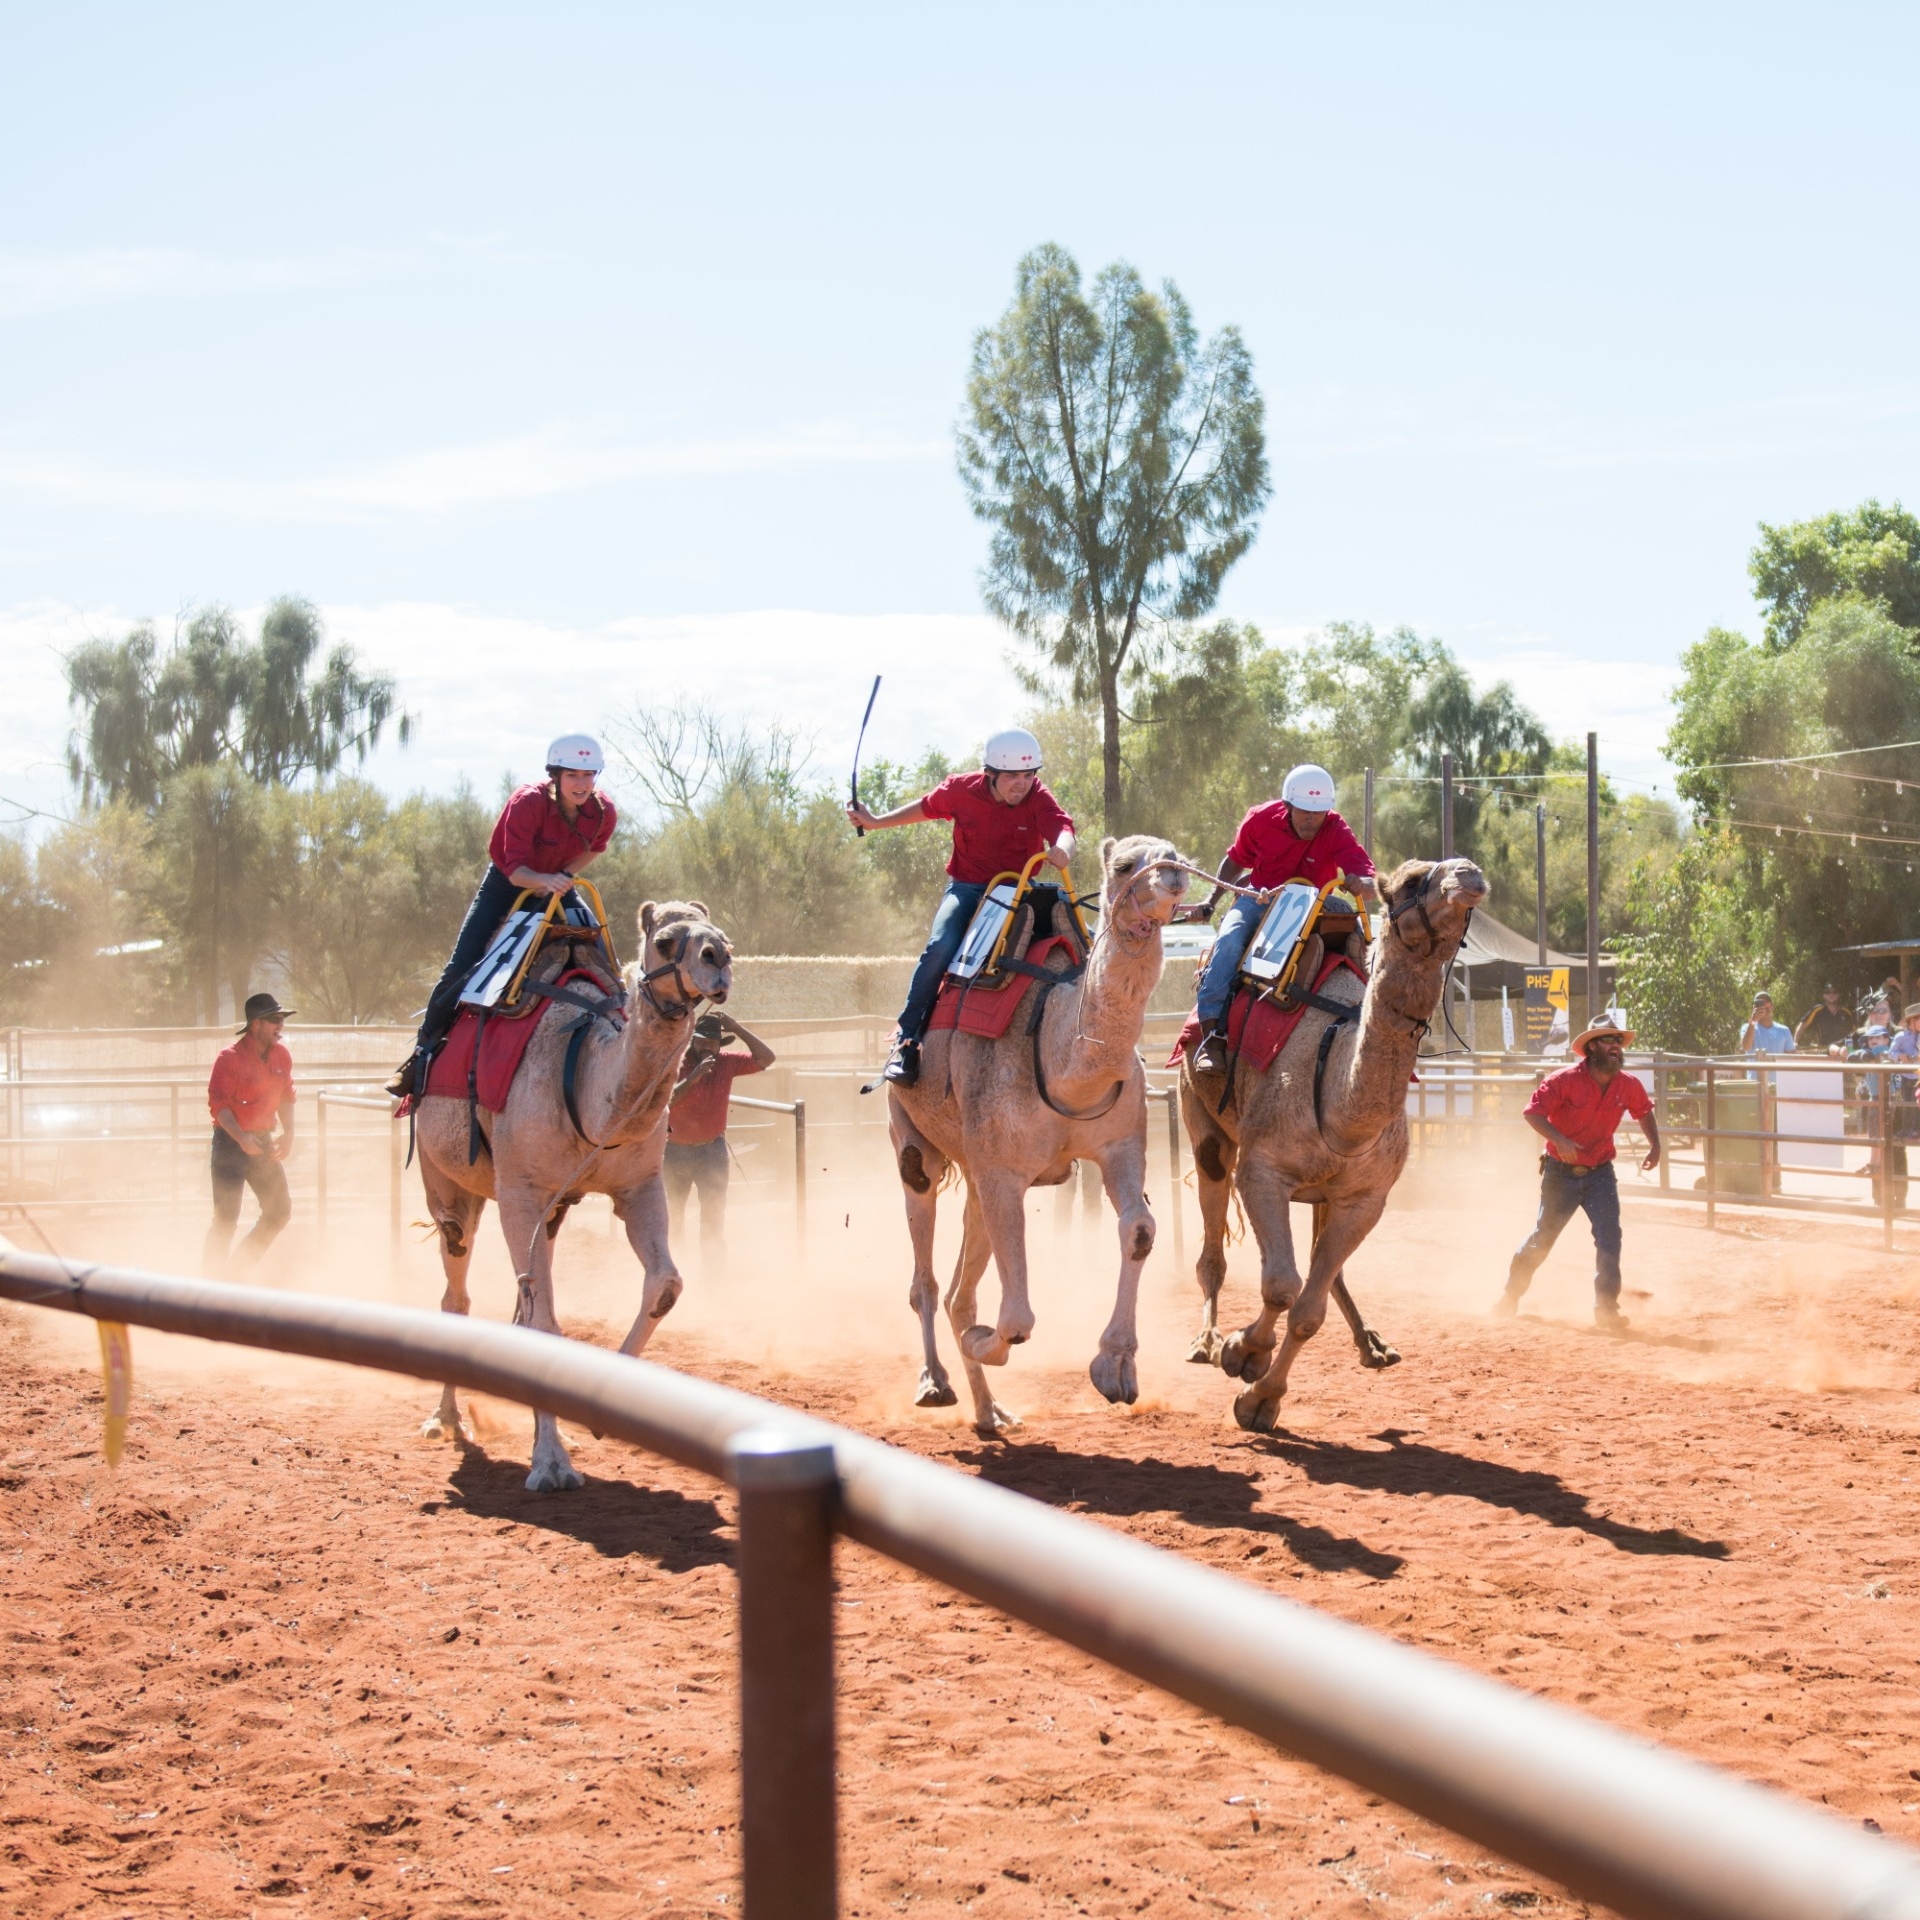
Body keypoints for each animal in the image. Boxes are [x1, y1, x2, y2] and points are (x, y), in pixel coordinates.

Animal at [412, 890, 733, 1489]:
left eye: (721, 933)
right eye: (664, 941)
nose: (718, 959)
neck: (586, 1085)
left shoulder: (638, 1186)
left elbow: (665, 1285)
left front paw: (596, 1417)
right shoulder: (521, 1193)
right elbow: (544, 1320)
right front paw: (550, 1463)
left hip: (555, 1209)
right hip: (445, 1180)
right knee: (456, 1287)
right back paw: (445, 1419)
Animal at [894, 833, 1190, 1436]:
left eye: (1173, 851)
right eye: (1126, 864)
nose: (1173, 874)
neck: (1061, 1056)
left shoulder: (1119, 1146)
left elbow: (1140, 1229)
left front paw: (1115, 1366)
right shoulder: (1004, 1171)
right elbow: (1016, 1316)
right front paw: (982, 1342)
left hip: (974, 1176)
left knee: (959, 1289)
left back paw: (991, 1412)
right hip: (912, 1138)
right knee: (927, 1278)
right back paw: (935, 1383)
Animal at [1182, 864, 1482, 1436]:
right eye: (1410, 880)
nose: (1469, 875)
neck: (1337, 1096)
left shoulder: (1365, 1199)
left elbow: (1306, 1311)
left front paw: (1261, 1398)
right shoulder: (1262, 1171)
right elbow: (1280, 1285)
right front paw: (1241, 1353)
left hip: (1324, 1193)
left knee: (1323, 1270)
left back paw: (1373, 1345)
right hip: (1202, 1120)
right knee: (1211, 1246)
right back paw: (1205, 1341)